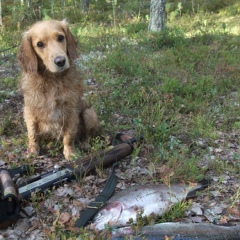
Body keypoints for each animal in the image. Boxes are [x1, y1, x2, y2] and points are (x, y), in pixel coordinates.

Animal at [17, 19, 98, 160]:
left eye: (60, 37)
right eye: (39, 44)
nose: (60, 61)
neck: (52, 81)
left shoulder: (71, 112)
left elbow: (69, 136)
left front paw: (70, 152)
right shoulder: (29, 111)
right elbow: (32, 134)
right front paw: (33, 150)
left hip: (89, 113)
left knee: (87, 134)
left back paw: (84, 143)